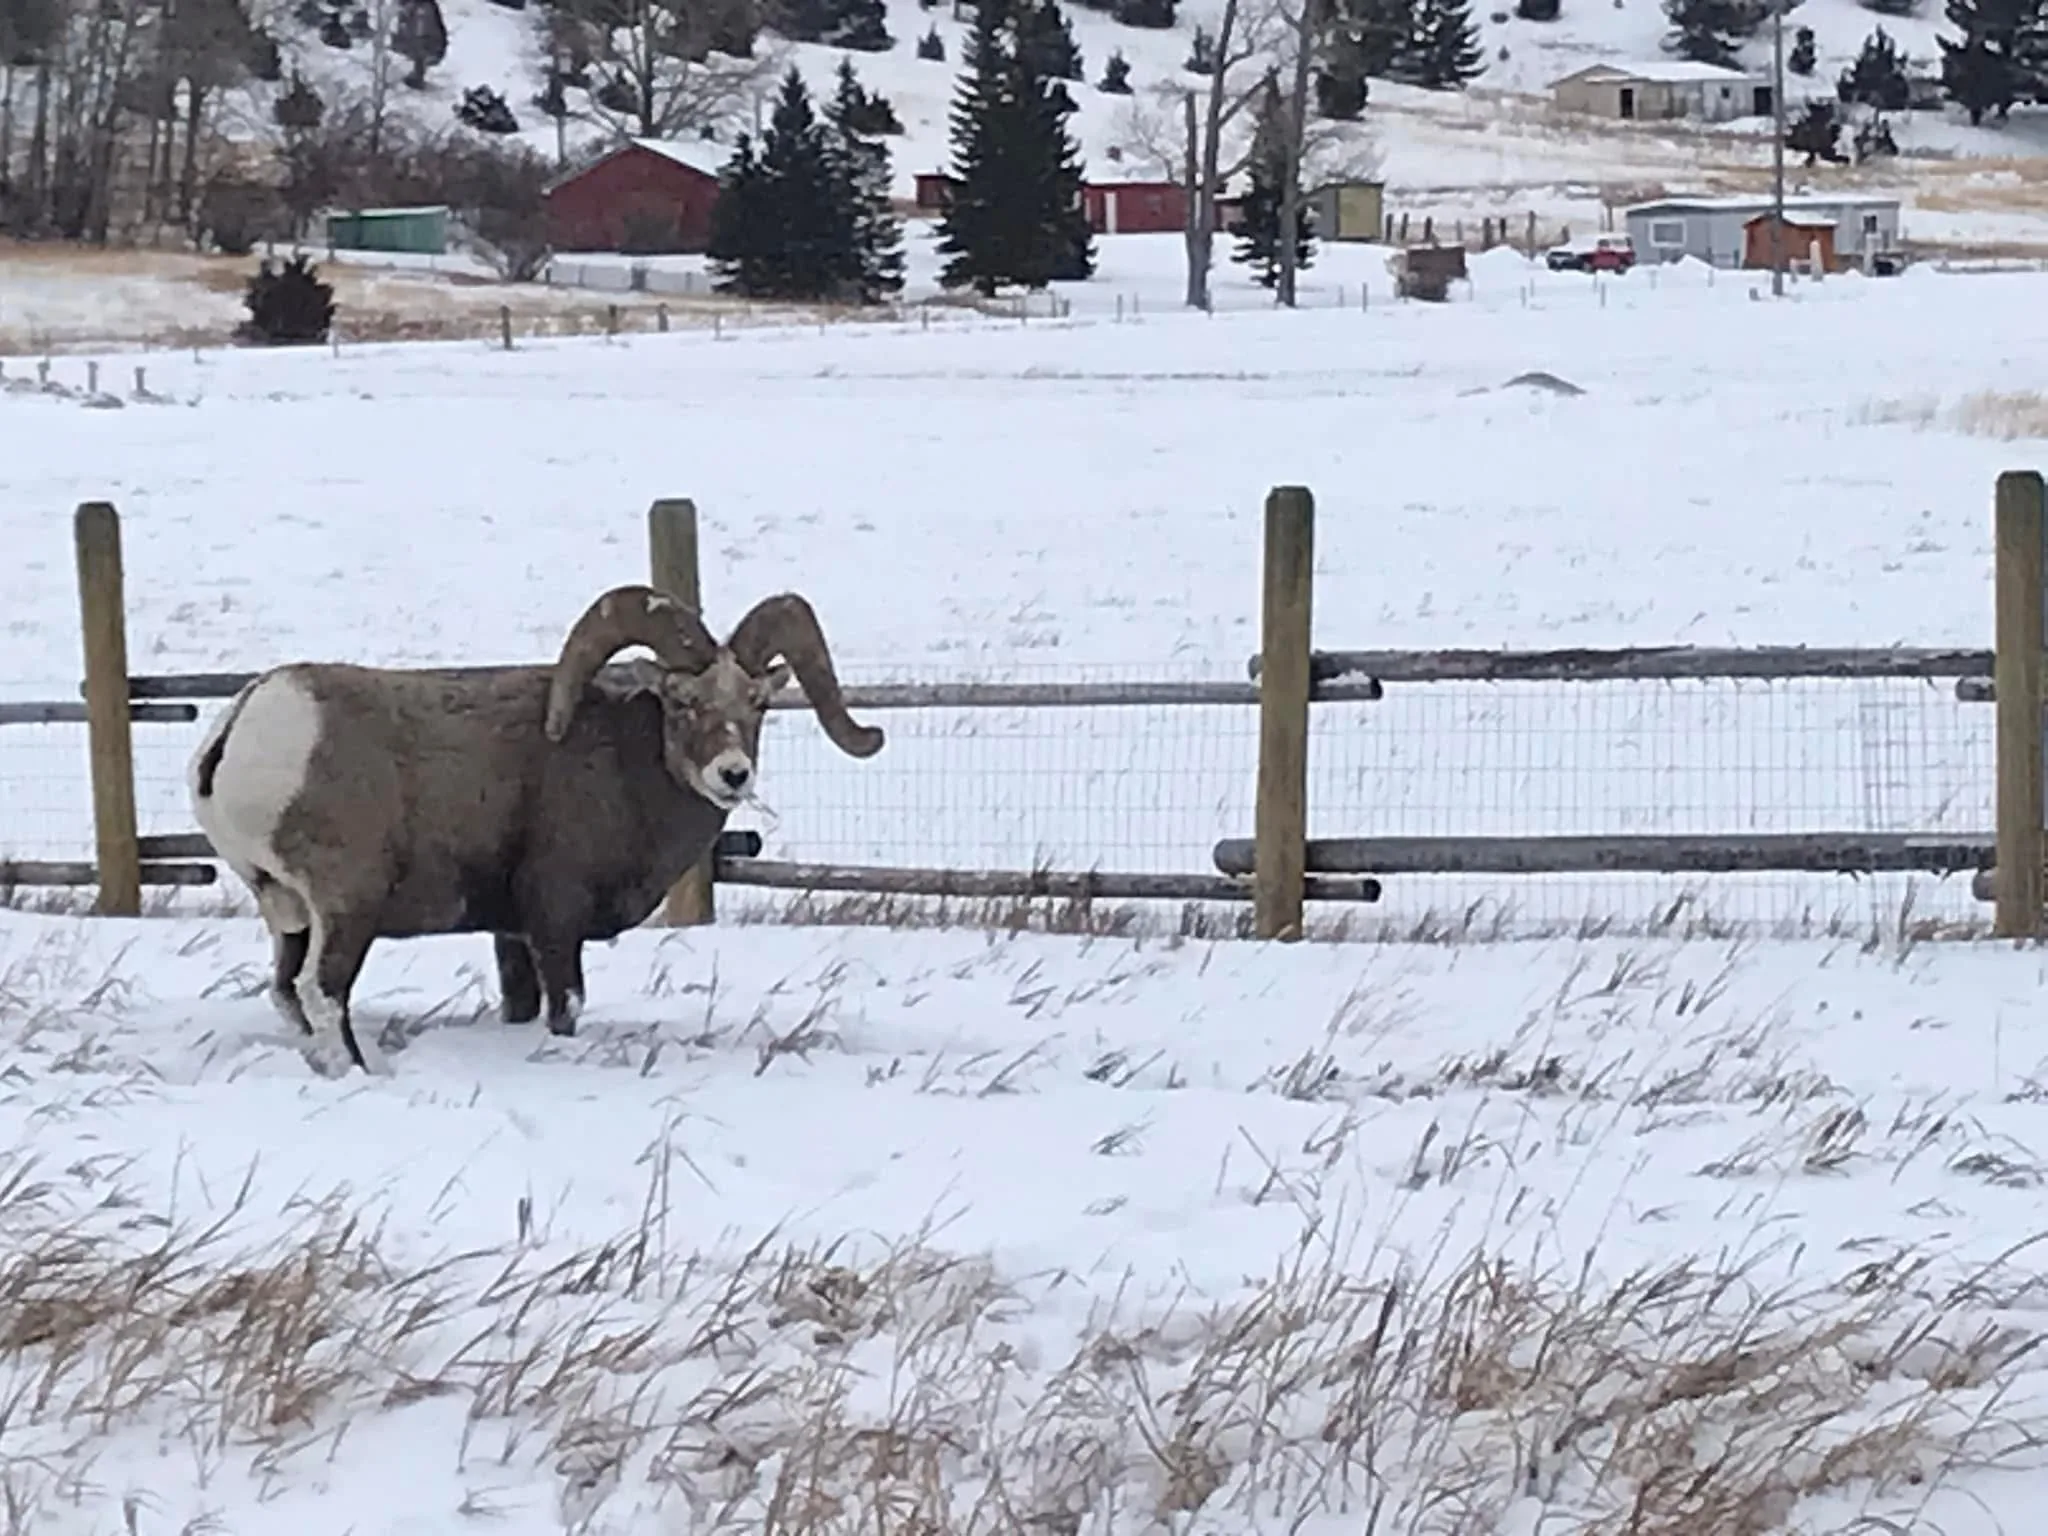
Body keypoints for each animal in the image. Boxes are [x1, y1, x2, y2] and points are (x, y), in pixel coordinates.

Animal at [187, 585, 884, 1075]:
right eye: (684, 702)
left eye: (757, 703)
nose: (733, 775)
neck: (623, 768)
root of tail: (246, 724)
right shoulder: (555, 920)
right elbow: (566, 1006)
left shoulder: (511, 933)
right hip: (345, 909)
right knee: (321, 992)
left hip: (288, 914)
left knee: (286, 993)